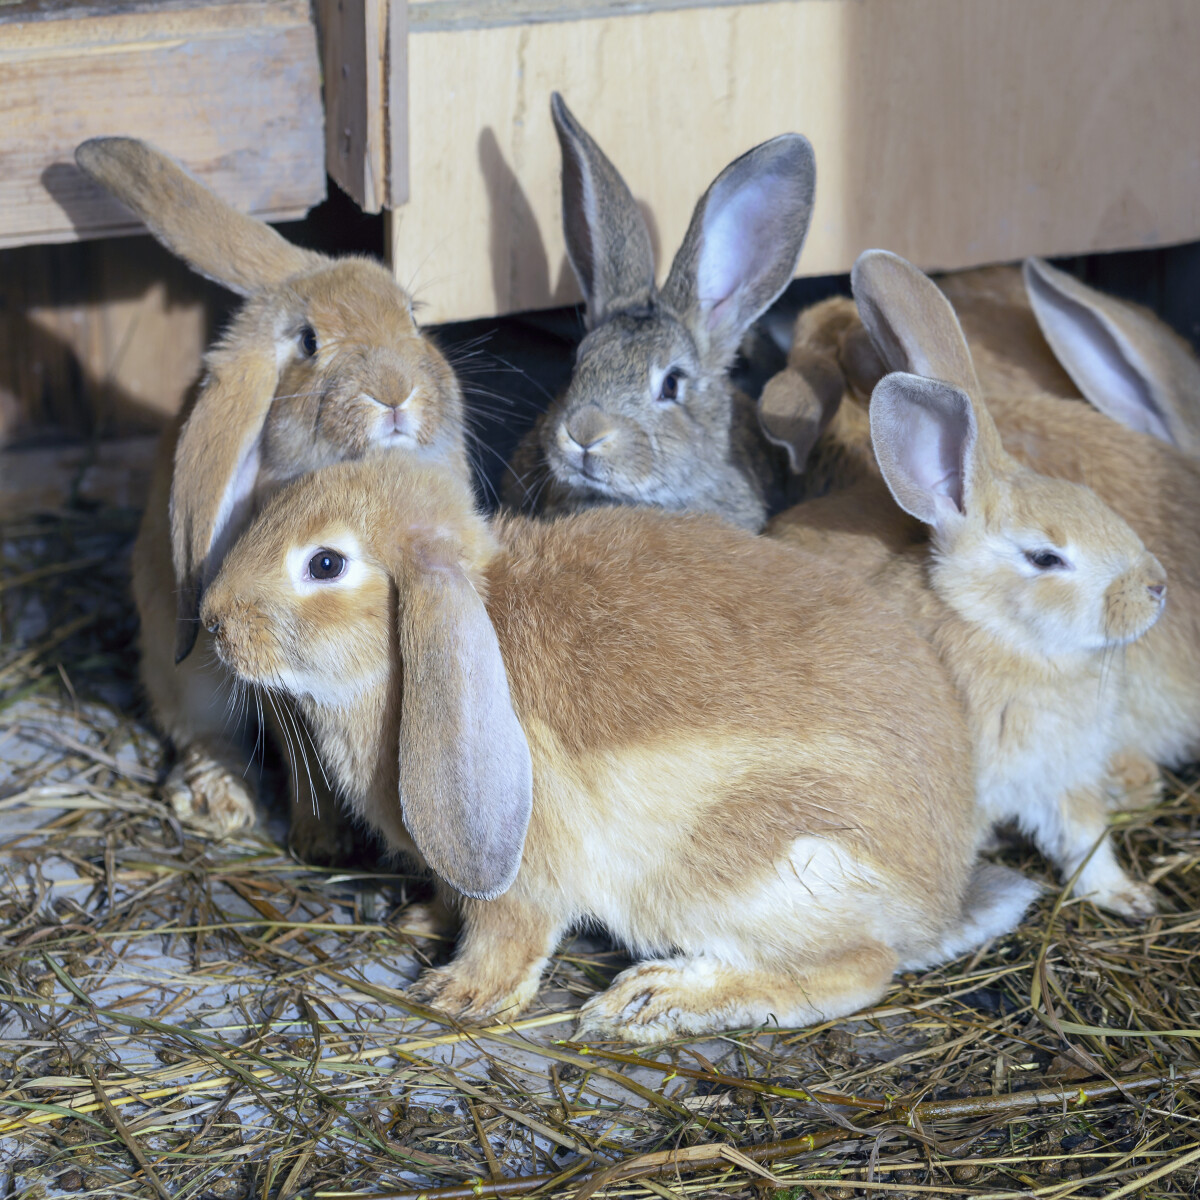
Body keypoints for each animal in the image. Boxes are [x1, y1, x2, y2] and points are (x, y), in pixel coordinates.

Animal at [75, 138, 468, 854]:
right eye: (309, 342)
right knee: (200, 732)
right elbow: (299, 751)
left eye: (413, 316)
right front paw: (322, 839)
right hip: (185, 670)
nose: (395, 391)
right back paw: (220, 803)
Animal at [199, 456, 1041, 1041]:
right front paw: (418, 923)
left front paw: (455, 994)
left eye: (326, 564)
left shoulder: (520, 869)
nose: (211, 620)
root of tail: (938, 900)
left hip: (758, 867)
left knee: (861, 968)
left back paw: (655, 999)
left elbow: (508, 935)